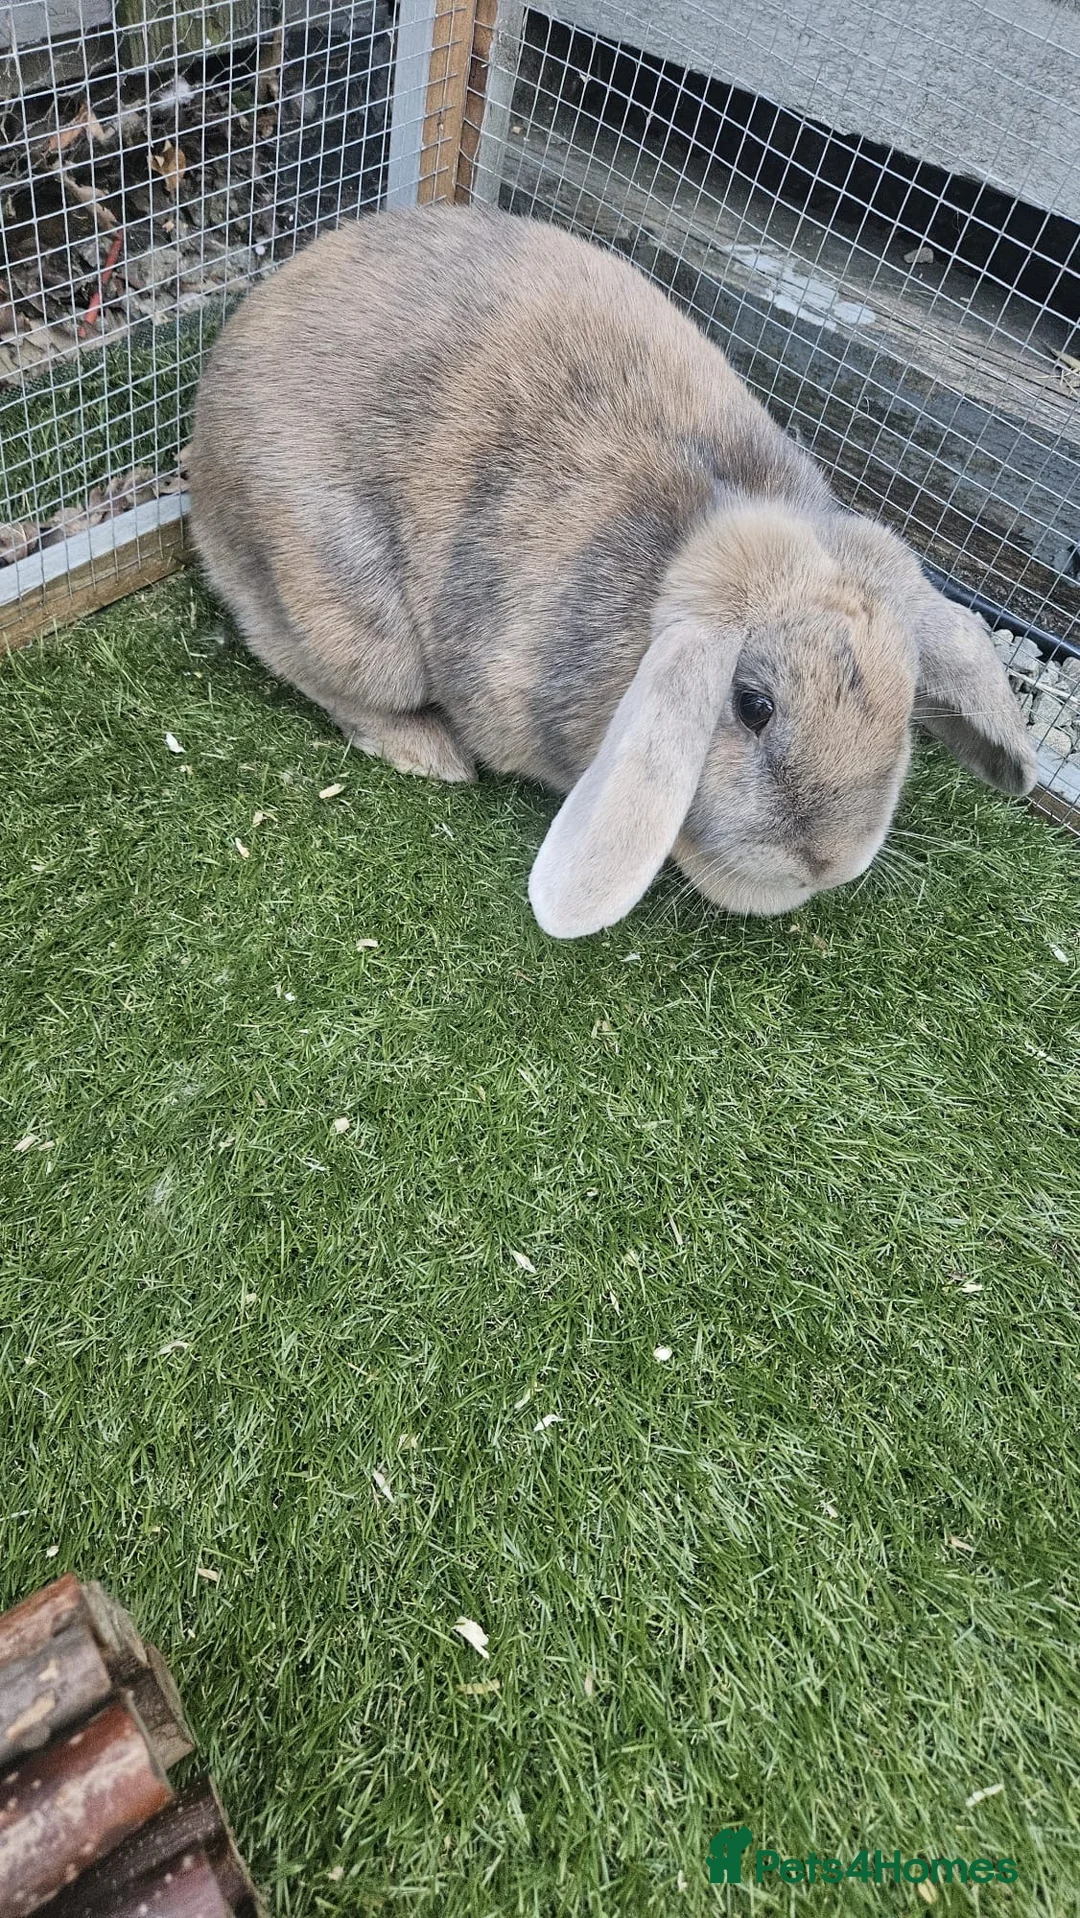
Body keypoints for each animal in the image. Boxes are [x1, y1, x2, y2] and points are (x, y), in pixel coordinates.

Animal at [187, 203, 1036, 937]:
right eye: (752, 706)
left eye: (906, 705)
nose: (829, 863)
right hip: (353, 618)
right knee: (311, 667)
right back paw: (432, 754)